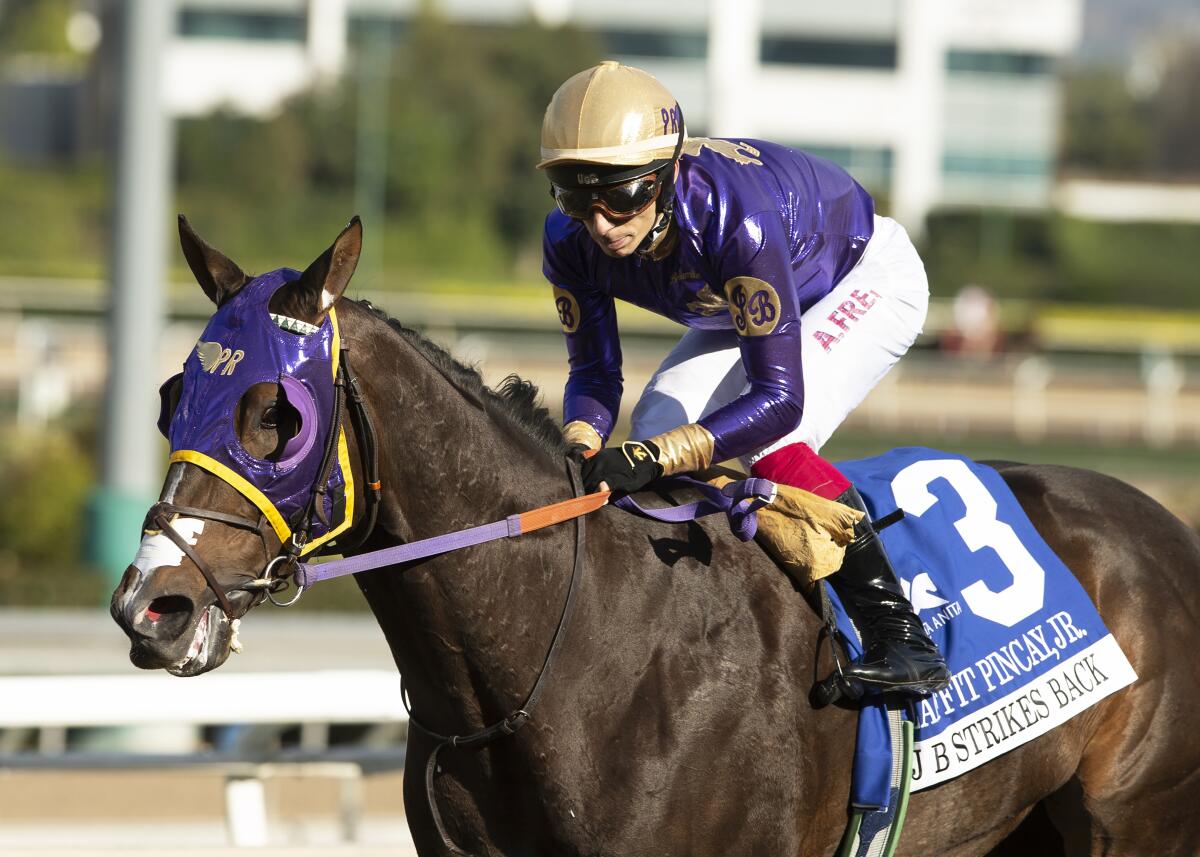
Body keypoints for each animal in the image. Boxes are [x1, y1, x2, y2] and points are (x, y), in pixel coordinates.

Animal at [110, 220, 1200, 854]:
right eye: (169, 395)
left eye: (278, 415)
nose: (152, 605)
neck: (561, 658)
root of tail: (1168, 528)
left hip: (1134, 820)